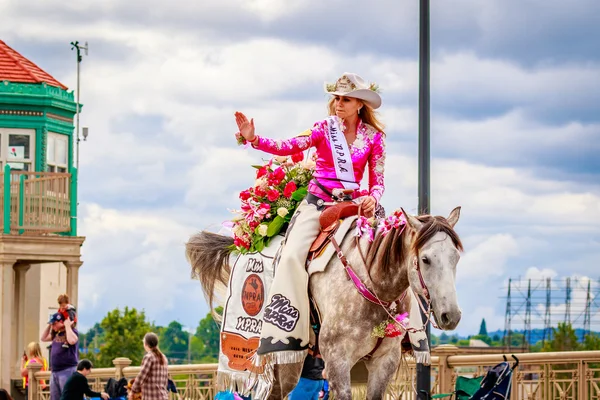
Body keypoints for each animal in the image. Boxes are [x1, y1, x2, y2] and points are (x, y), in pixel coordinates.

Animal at [188, 208, 464, 398]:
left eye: (456, 258)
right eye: (425, 259)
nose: (451, 315)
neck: (372, 283)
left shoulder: (384, 361)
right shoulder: (337, 361)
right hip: (280, 364)